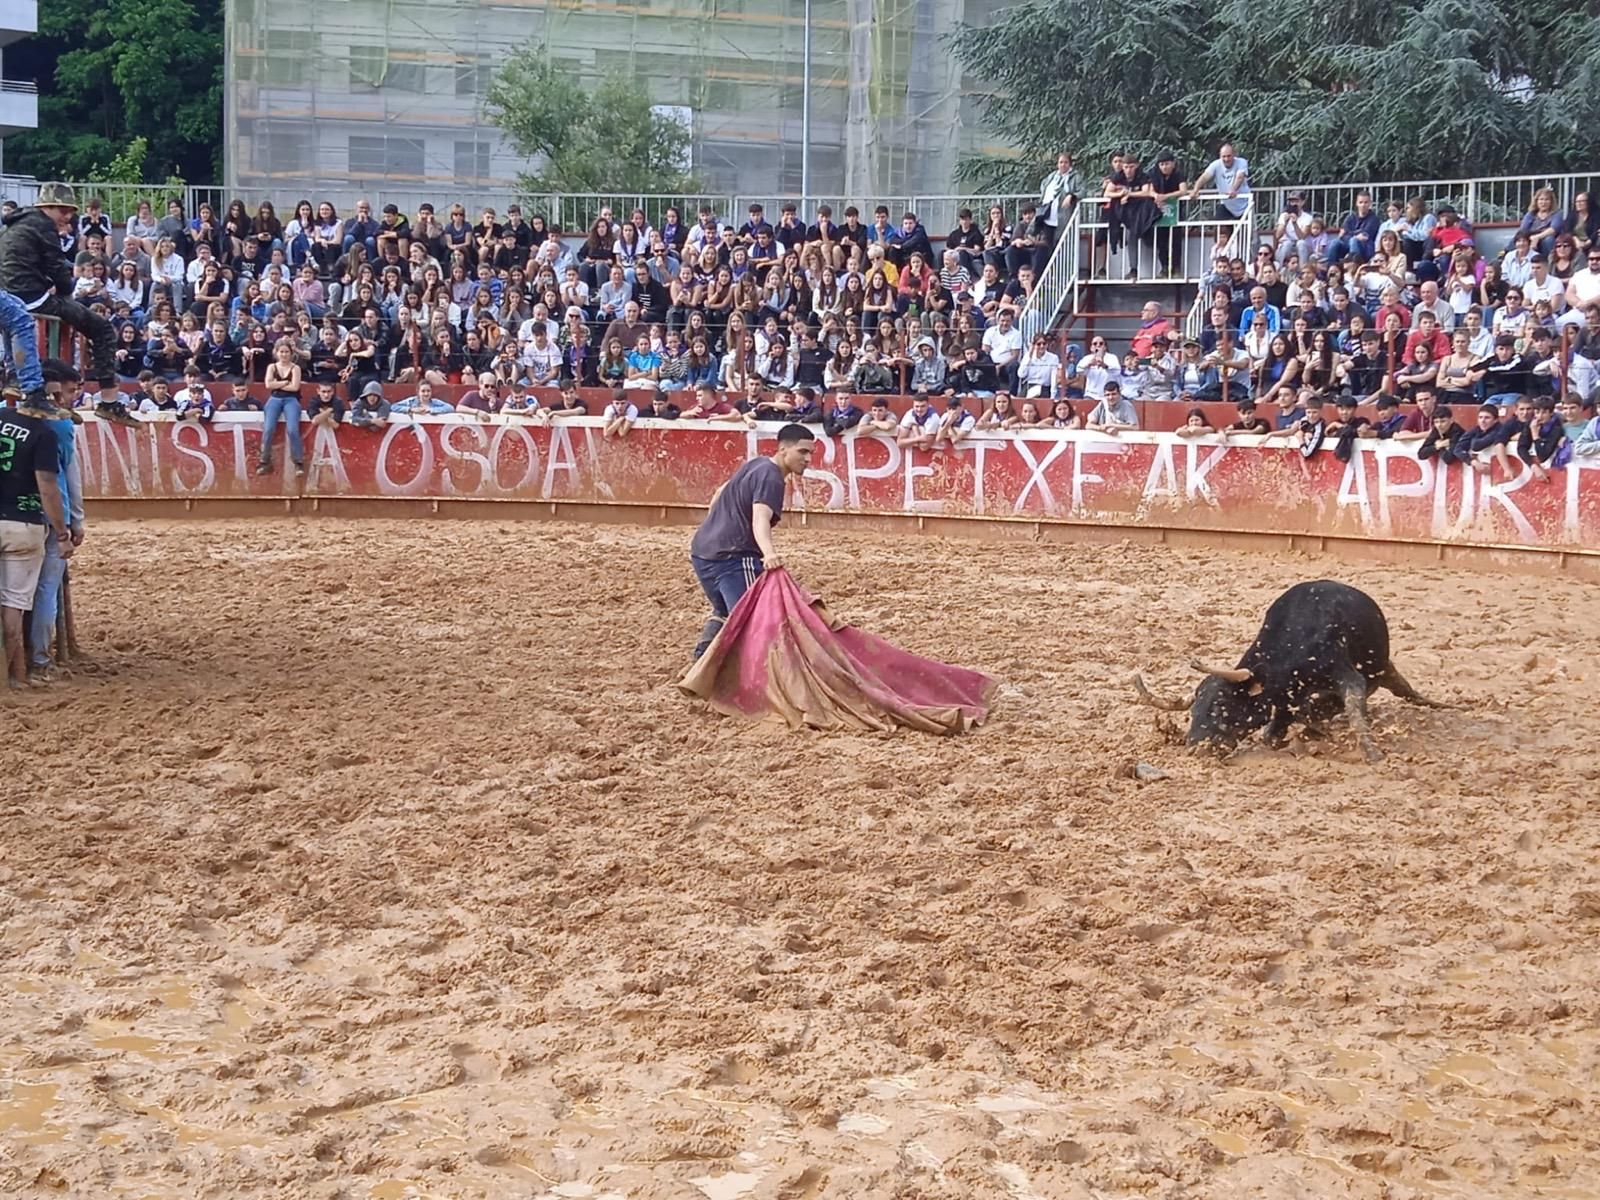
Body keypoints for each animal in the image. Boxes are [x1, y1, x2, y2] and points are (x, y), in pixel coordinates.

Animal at [1132, 579, 1446, 761]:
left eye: (1221, 706)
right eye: (1193, 710)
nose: (1195, 746)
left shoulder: (1348, 678)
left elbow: (1351, 712)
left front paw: (1373, 754)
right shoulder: (1284, 700)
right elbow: (1274, 734)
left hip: (1380, 669)